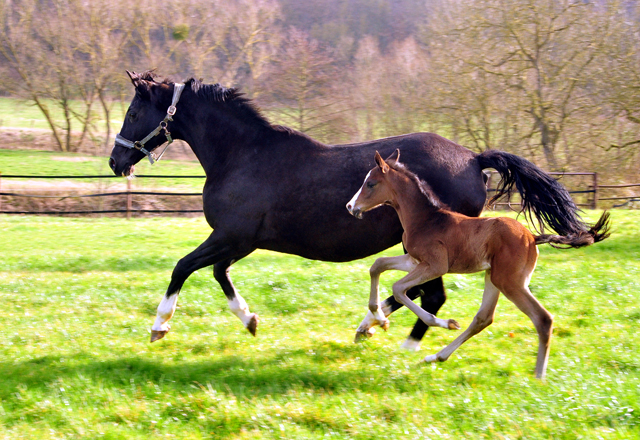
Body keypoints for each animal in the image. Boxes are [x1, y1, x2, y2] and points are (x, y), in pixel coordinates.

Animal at [111, 72, 600, 348]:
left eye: (133, 111)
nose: (116, 161)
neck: (242, 154)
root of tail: (474, 157)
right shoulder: (240, 243)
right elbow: (217, 274)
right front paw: (250, 320)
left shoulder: (230, 237)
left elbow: (183, 267)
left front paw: (159, 326)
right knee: (417, 293)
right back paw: (373, 325)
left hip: (434, 249)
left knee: (429, 296)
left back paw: (398, 338)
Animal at [344, 150, 608, 378]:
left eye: (371, 183)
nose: (350, 206)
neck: (426, 218)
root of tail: (532, 237)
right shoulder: (414, 260)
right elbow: (377, 265)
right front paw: (378, 318)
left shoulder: (435, 266)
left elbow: (399, 289)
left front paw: (441, 323)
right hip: (493, 277)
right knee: (484, 318)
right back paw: (436, 357)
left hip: (509, 282)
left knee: (542, 319)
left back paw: (538, 377)